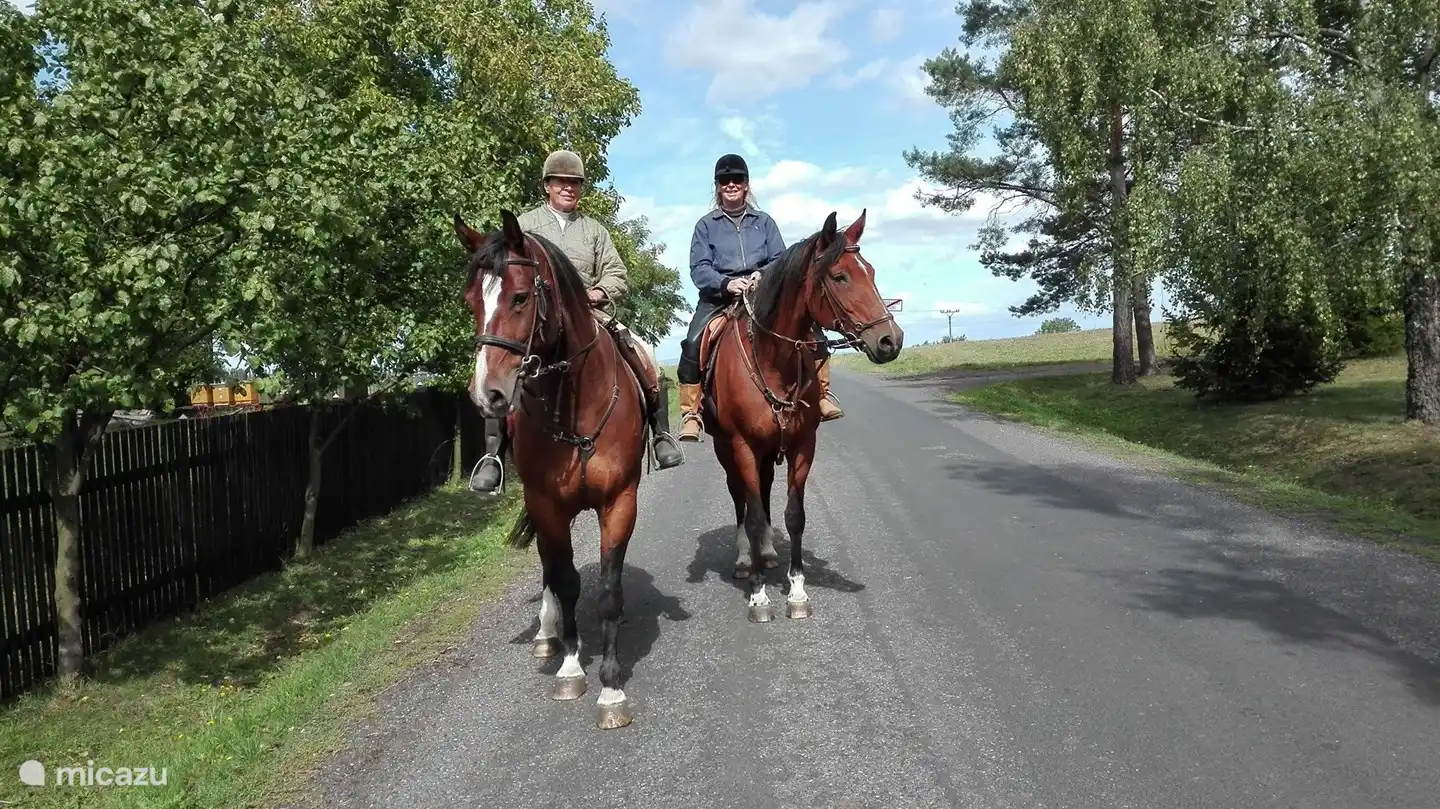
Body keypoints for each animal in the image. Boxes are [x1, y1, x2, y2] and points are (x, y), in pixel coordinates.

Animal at [454, 208, 651, 730]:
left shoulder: (619, 503)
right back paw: (548, 635)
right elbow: (565, 582)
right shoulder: (546, 506)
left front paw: (611, 689)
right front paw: (570, 666)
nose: (487, 395)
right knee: (549, 568)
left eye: (520, 297)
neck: (575, 408)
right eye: (471, 302)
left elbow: (607, 590)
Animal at [696, 209, 903, 622]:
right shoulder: (742, 446)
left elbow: (794, 514)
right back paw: (745, 559)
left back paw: (767, 553)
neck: (772, 359)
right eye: (839, 276)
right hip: (727, 449)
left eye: (870, 271)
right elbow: (752, 513)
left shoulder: (802, 445)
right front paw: (759, 596)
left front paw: (796, 591)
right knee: (741, 498)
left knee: (762, 493)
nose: (891, 340)